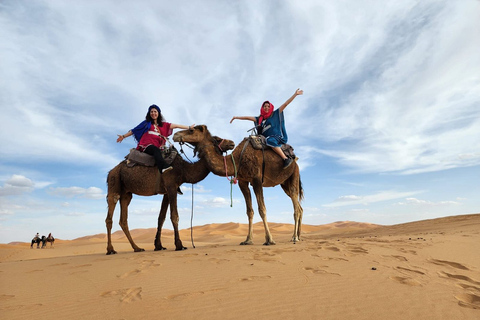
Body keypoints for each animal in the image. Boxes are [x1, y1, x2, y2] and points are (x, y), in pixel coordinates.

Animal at [105, 132, 234, 255]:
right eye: (216, 139)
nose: (231, 143)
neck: (183, 169)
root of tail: (110, 171)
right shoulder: (171, 186)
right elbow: (174, 216)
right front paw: (179, 245)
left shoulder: (167, 191)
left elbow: (161, 217)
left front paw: (158, 246)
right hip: (114, 182)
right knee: (110, 214)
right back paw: (111, 250)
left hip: (126, 193)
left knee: (123, 219)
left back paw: (137, 248)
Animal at [173, 125, 304, 245]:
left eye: (191, 130)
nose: (175, 135)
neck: (237, 160)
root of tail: (295, 160)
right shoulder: (243, 182)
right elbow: (249, 211)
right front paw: (248, 240)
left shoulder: (256, 179)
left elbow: (262, 209)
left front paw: (269, 240)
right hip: (284, 183)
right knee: (299, 207)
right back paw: (298, 236)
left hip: (294, 174)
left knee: (296, 207)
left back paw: (294, 237)